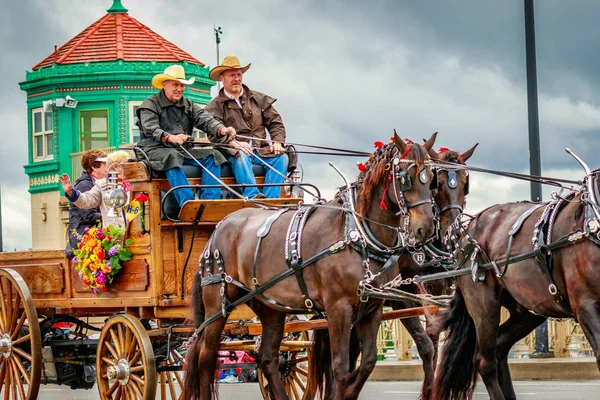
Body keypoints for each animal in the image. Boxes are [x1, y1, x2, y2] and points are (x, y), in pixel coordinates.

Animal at [182, 133, 436, 398]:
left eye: (431, 177)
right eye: (405, 177)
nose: (426, 228)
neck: (357, 234)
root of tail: (218, 228)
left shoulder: (373, 308)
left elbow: (366, 362)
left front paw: (348, 390)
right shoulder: (338, 308)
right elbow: (340, 367)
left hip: (270, 307)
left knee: (268, 358)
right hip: (217, 304)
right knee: (205, 356)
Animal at [434, 158, 600, 398]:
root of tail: (467, 230)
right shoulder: (586, 306)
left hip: (529, 309)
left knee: (500, 347)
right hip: (484, 306)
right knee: (485, 362)